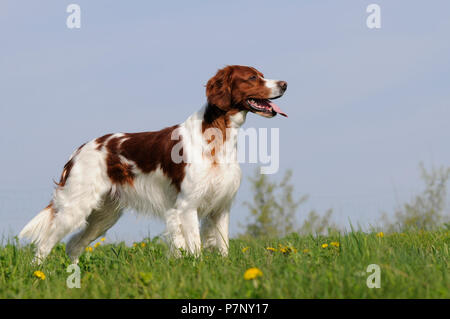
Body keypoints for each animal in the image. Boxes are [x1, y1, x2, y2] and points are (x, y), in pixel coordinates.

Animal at [18, 63, 288, 264]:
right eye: (252, 77)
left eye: (262, 75)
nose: (285, 84)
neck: (216, 135)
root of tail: (79, 150)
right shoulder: (187, 206)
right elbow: (196, 247)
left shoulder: (221, 207)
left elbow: (222, 246)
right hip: (76, 207)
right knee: (45, 244)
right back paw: (39, 274)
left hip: (103, 214)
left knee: (73, 245)